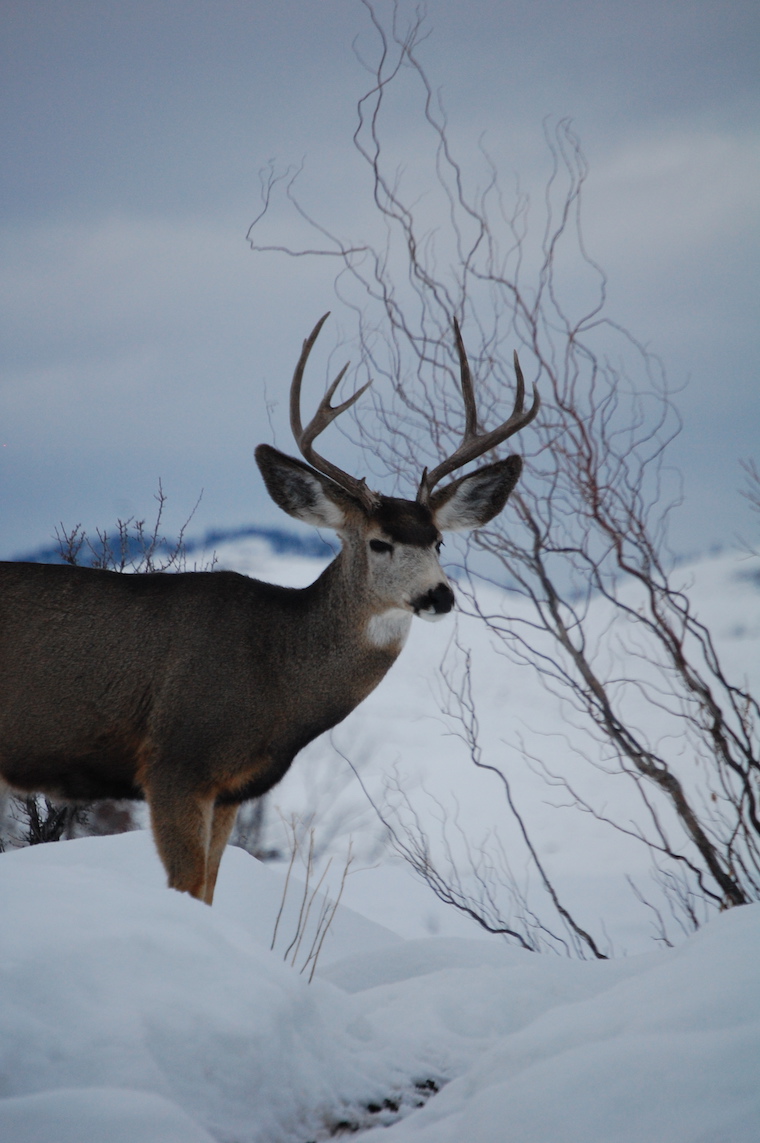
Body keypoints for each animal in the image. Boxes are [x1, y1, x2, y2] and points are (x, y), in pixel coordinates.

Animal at [0, 314, 539, 904]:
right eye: (379, 543)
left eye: (439, 542)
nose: (439, 594)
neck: (274, 677)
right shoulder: (176, 762)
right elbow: (186, 888)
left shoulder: (231, 790)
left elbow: (208, 890)